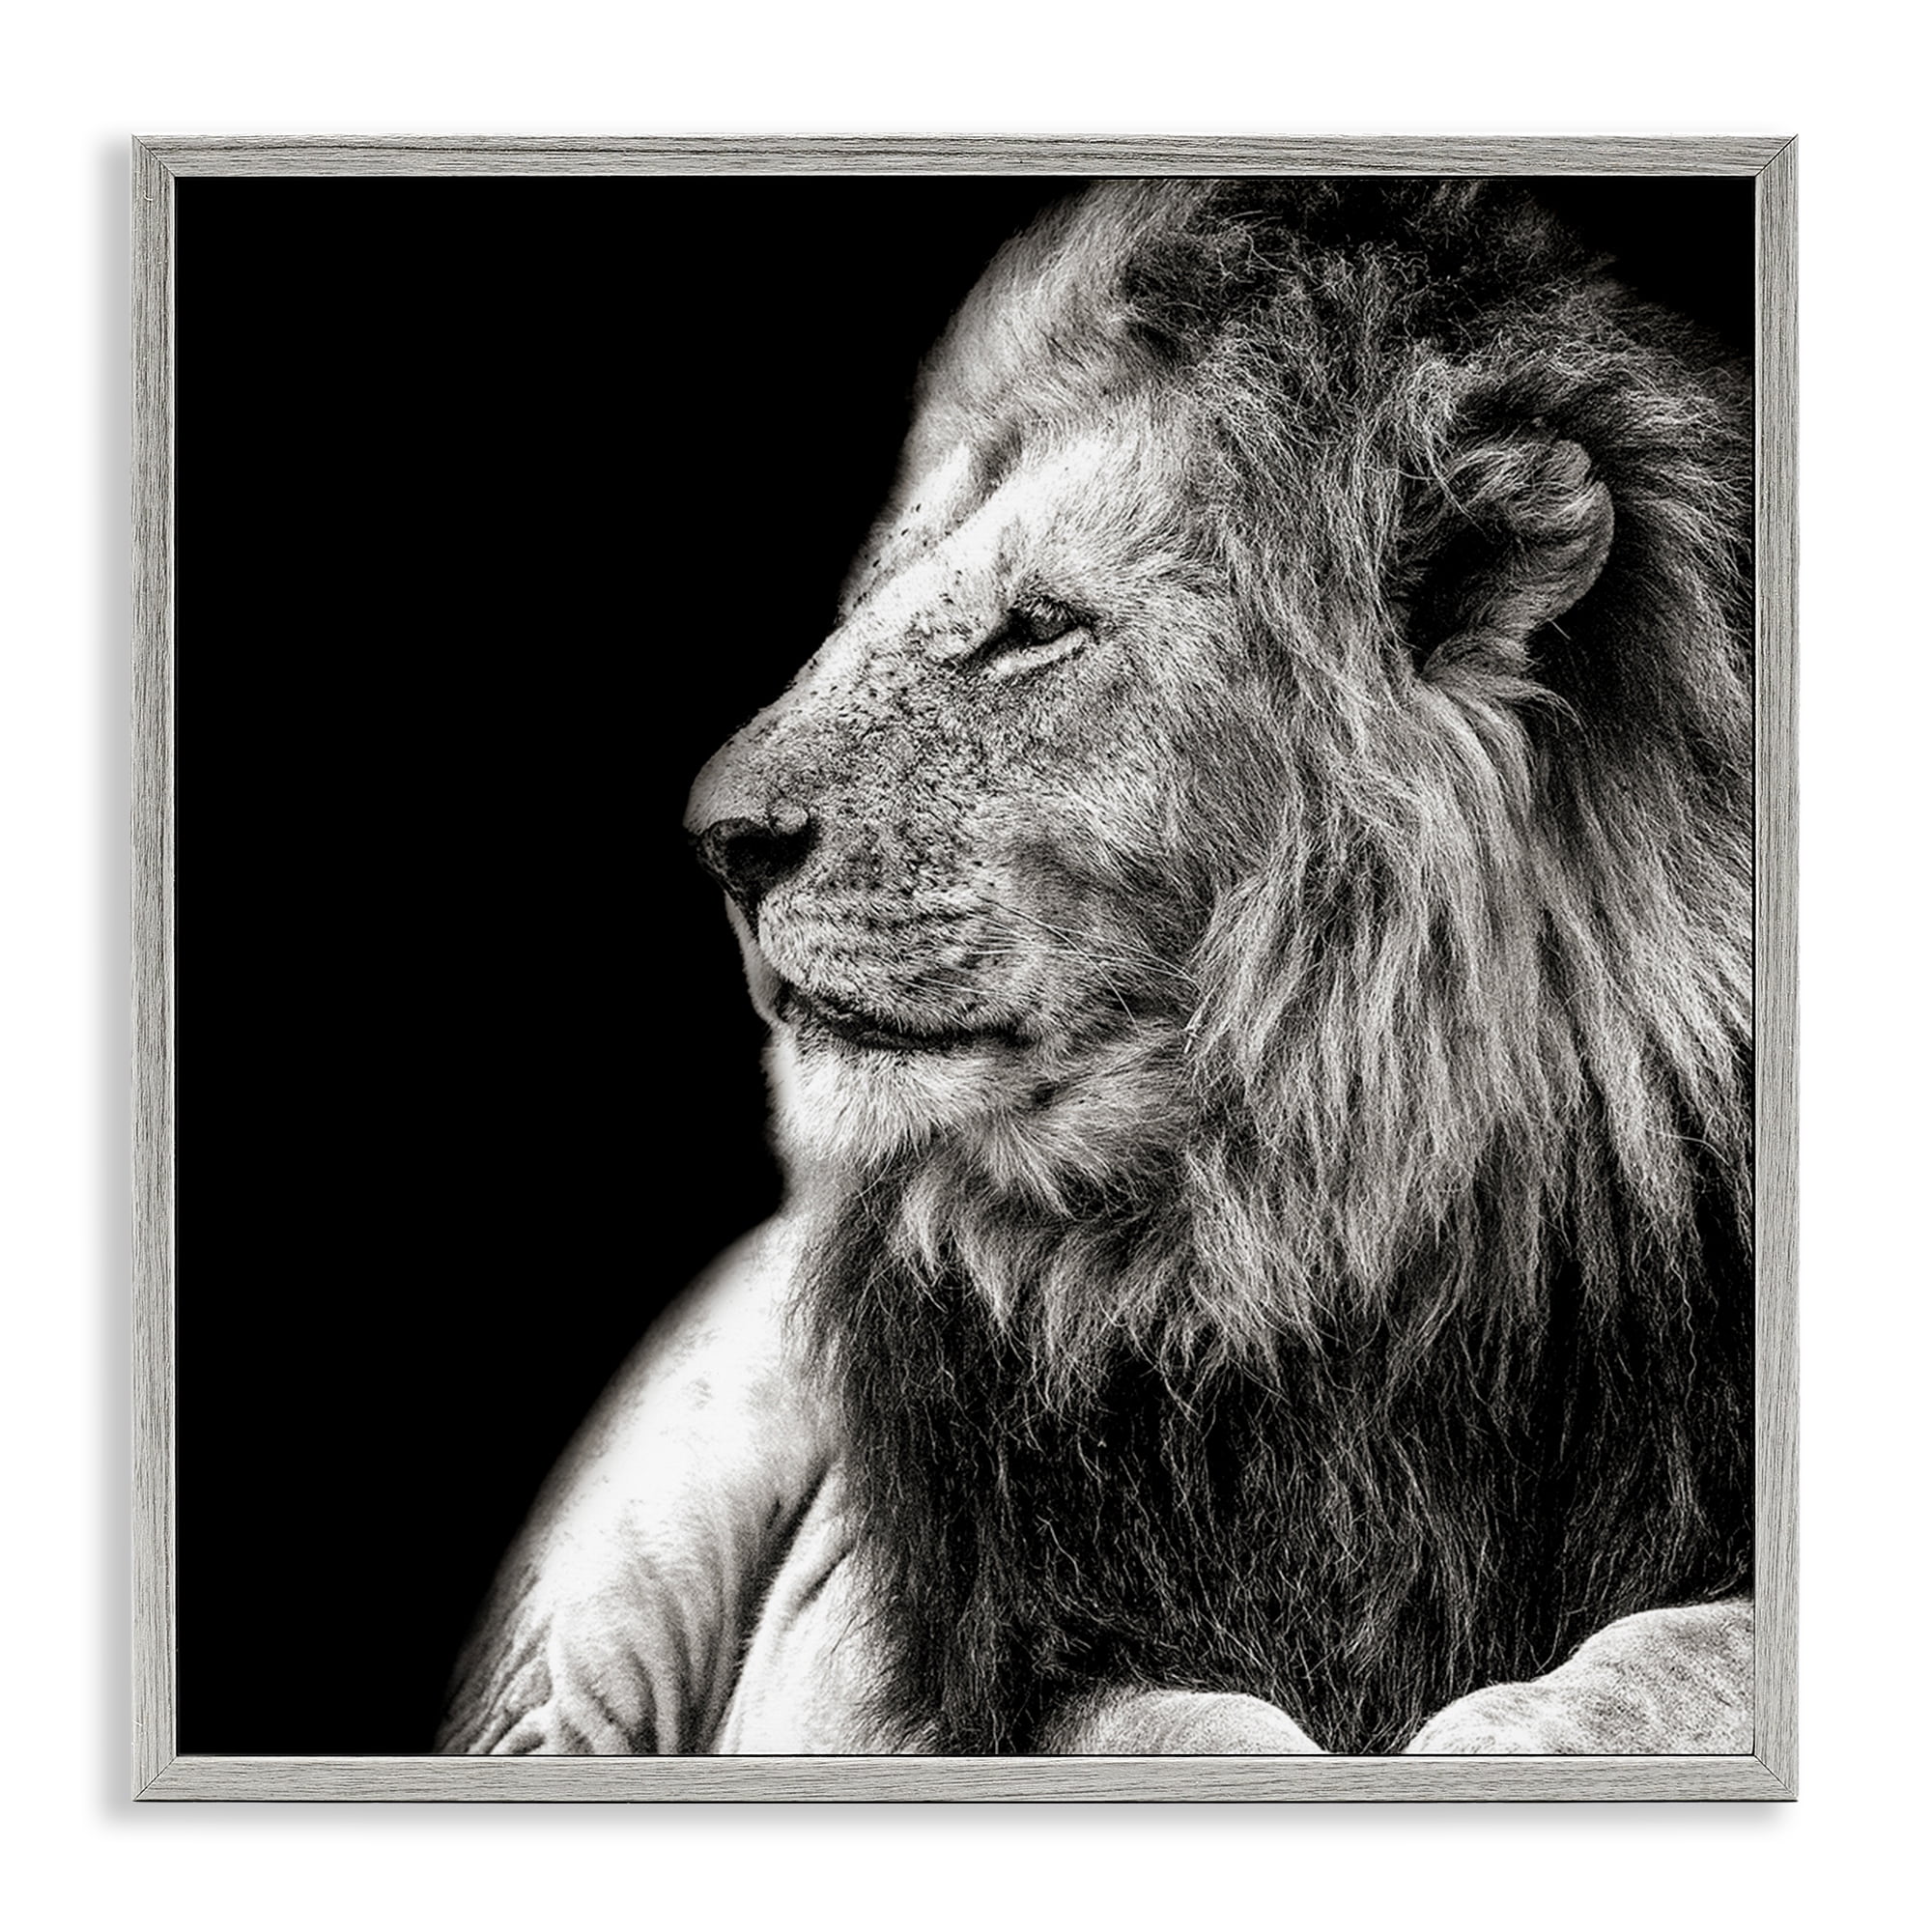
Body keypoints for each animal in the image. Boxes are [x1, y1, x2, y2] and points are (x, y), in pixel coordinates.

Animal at [438, 180, 1755, 1758]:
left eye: (1037, 627)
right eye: (872, 602)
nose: (718, 842)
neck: (1311, 1237)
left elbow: (1682, 1649)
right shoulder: (977, 1658)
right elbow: (1184, 1731)